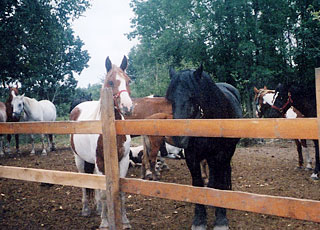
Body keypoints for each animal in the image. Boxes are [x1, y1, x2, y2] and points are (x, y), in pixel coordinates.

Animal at [70, 56, 134, 230]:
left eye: (128, 81)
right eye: (110, 82)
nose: (128, 107)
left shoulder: (123, 160)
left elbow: (121, 191)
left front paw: (125, 221)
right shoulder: (100, 161)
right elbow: (105, 193)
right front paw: (105, 222)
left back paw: (98, 208)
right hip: (79, 160)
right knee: (84, 181)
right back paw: (86, 209)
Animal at [165, 65, 242, 230]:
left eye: (192, 97)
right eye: (170, 99)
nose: (178, 137)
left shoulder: (220, 154)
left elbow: (220, 183)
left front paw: (221, 219)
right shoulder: (192, 156)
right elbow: (197, 183)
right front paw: (199, 219)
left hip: (227, 152)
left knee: (226, 171)